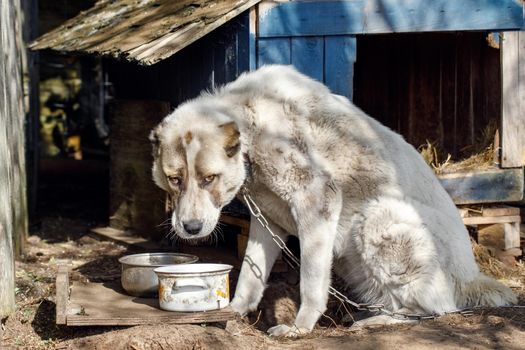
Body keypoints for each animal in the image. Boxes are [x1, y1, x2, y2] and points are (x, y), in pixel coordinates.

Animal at [149, 65, 512, 336]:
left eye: (209, 178)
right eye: (175, 180)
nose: (191, 228)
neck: (252, 128)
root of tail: (472, 277)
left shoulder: (316, 202)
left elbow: (310, 281)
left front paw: (299, 328)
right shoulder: (267, 222)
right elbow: (251, 278)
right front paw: (234, 311)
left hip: (377, 215)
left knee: (435, 307)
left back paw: (376, 321)